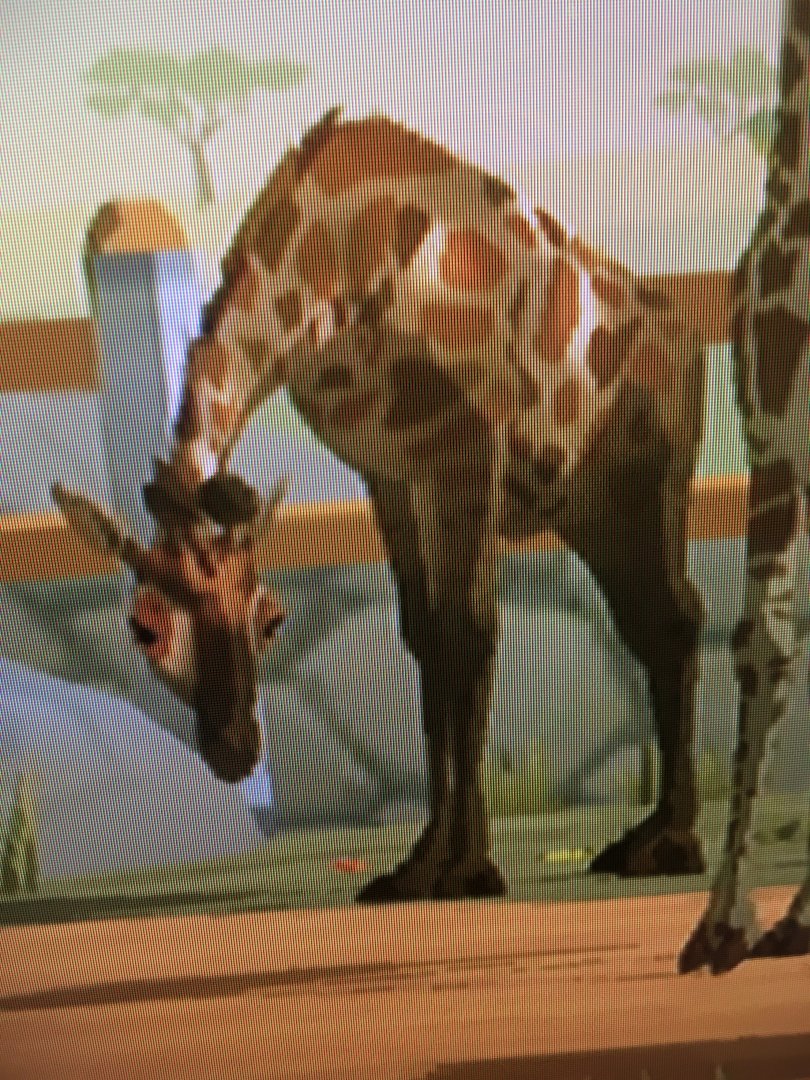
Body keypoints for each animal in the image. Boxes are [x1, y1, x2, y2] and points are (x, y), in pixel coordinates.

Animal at [53, 107, 708, 903]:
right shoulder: (389, 473)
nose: (235, 749)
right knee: (657, 623)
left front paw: (462, 869)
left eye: (271, 619)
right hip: (589, 508)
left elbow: (467, 636)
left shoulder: (465, 455)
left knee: (672, 620)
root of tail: (686, 338)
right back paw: (649, 839)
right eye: (143, 628)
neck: (332, 267)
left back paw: (672, 845)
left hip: (647, 485)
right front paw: (419, 861)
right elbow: (424, 637)